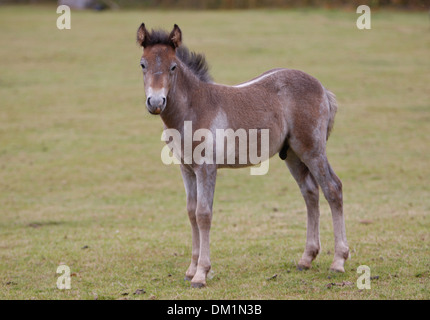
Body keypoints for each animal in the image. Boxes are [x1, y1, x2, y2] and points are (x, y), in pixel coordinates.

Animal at [136, 22, 348, 288]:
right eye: (142, 64)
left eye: (173, 66)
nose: (155, 102)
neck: (193, 108)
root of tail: (322, 88)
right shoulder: (186, 168)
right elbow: (191, 212)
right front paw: (191, 269)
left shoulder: (206, 167)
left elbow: (203, 214)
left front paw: (201, 274)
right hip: (292, 154)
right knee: (310, 193)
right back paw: (306, 259)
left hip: (312, 149)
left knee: (332, 188)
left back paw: (338, 261)